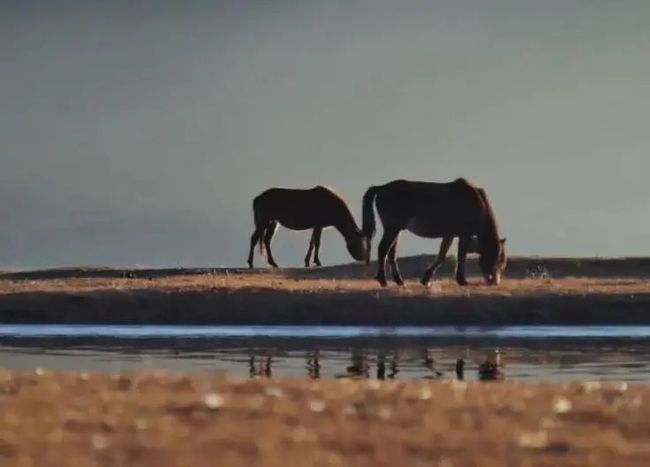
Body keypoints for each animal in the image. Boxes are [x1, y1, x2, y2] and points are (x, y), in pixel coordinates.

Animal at [360, 179, 506, 288]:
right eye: (496, 258)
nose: (494, 282)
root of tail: (381, 188)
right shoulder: (464, 234)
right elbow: (461, 256)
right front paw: (461, 280)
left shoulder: (450, 235)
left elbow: (442, 256)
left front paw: (426, 279)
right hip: (392, 229)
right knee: (383, 250)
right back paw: (383, 280)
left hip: (396, 230)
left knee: (391, 254)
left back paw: (399, 281)